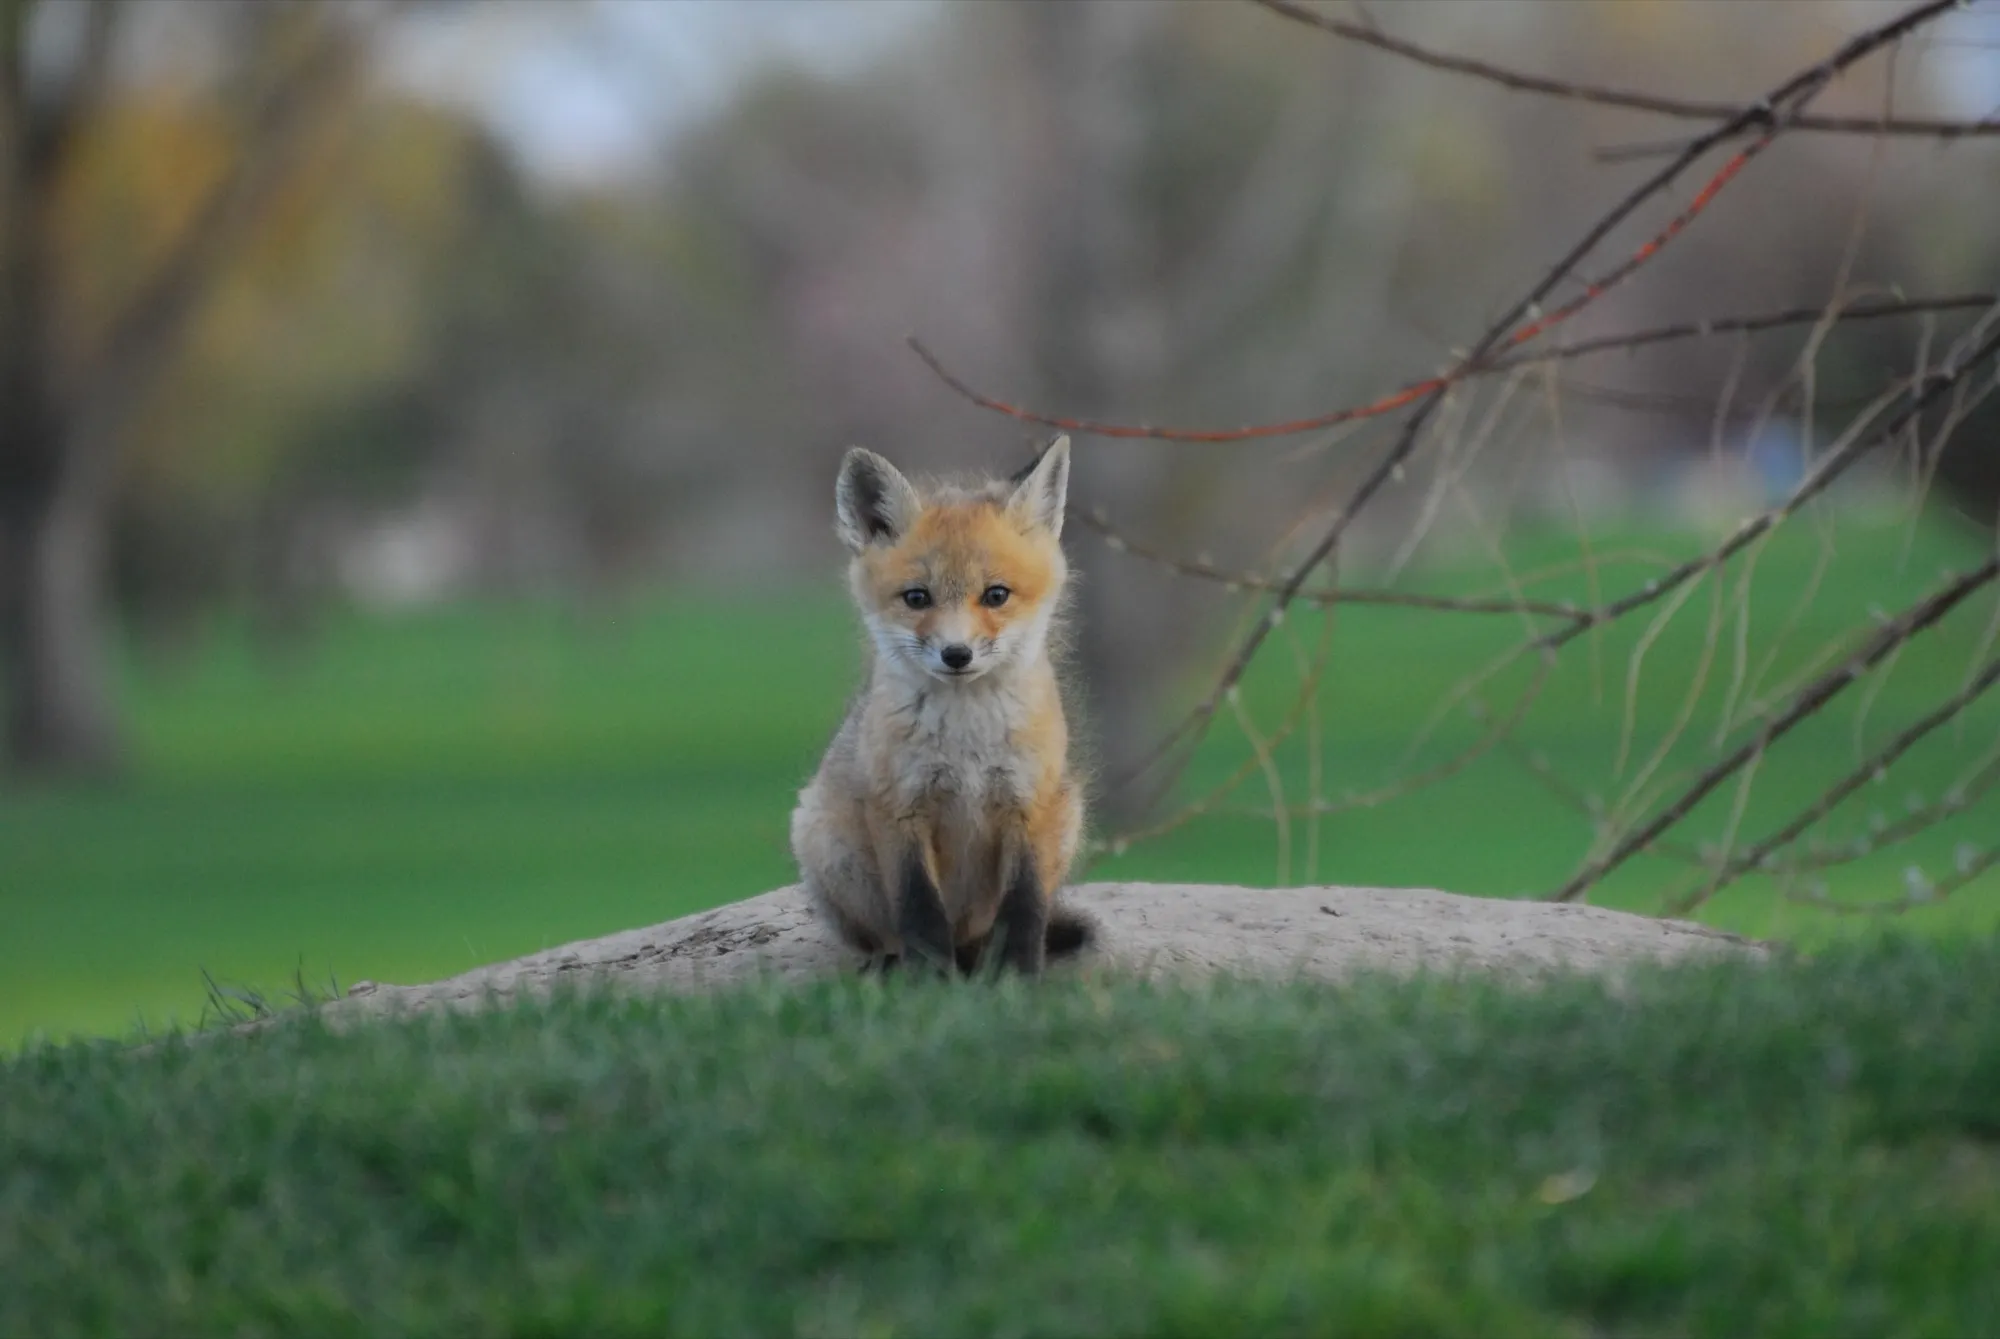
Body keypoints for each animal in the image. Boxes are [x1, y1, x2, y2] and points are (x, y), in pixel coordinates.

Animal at [789, 435, 1092, 976]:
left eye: (996, 595)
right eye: (917, 598)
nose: (957, 654)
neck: (966, 745)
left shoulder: (1029, 805)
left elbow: (1026, 907)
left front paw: (1018, 979)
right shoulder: (898, 809)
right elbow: (919, 909)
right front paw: (930, 983)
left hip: (1068, 811)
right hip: (820, 836)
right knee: (884, 936)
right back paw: (893, 966)